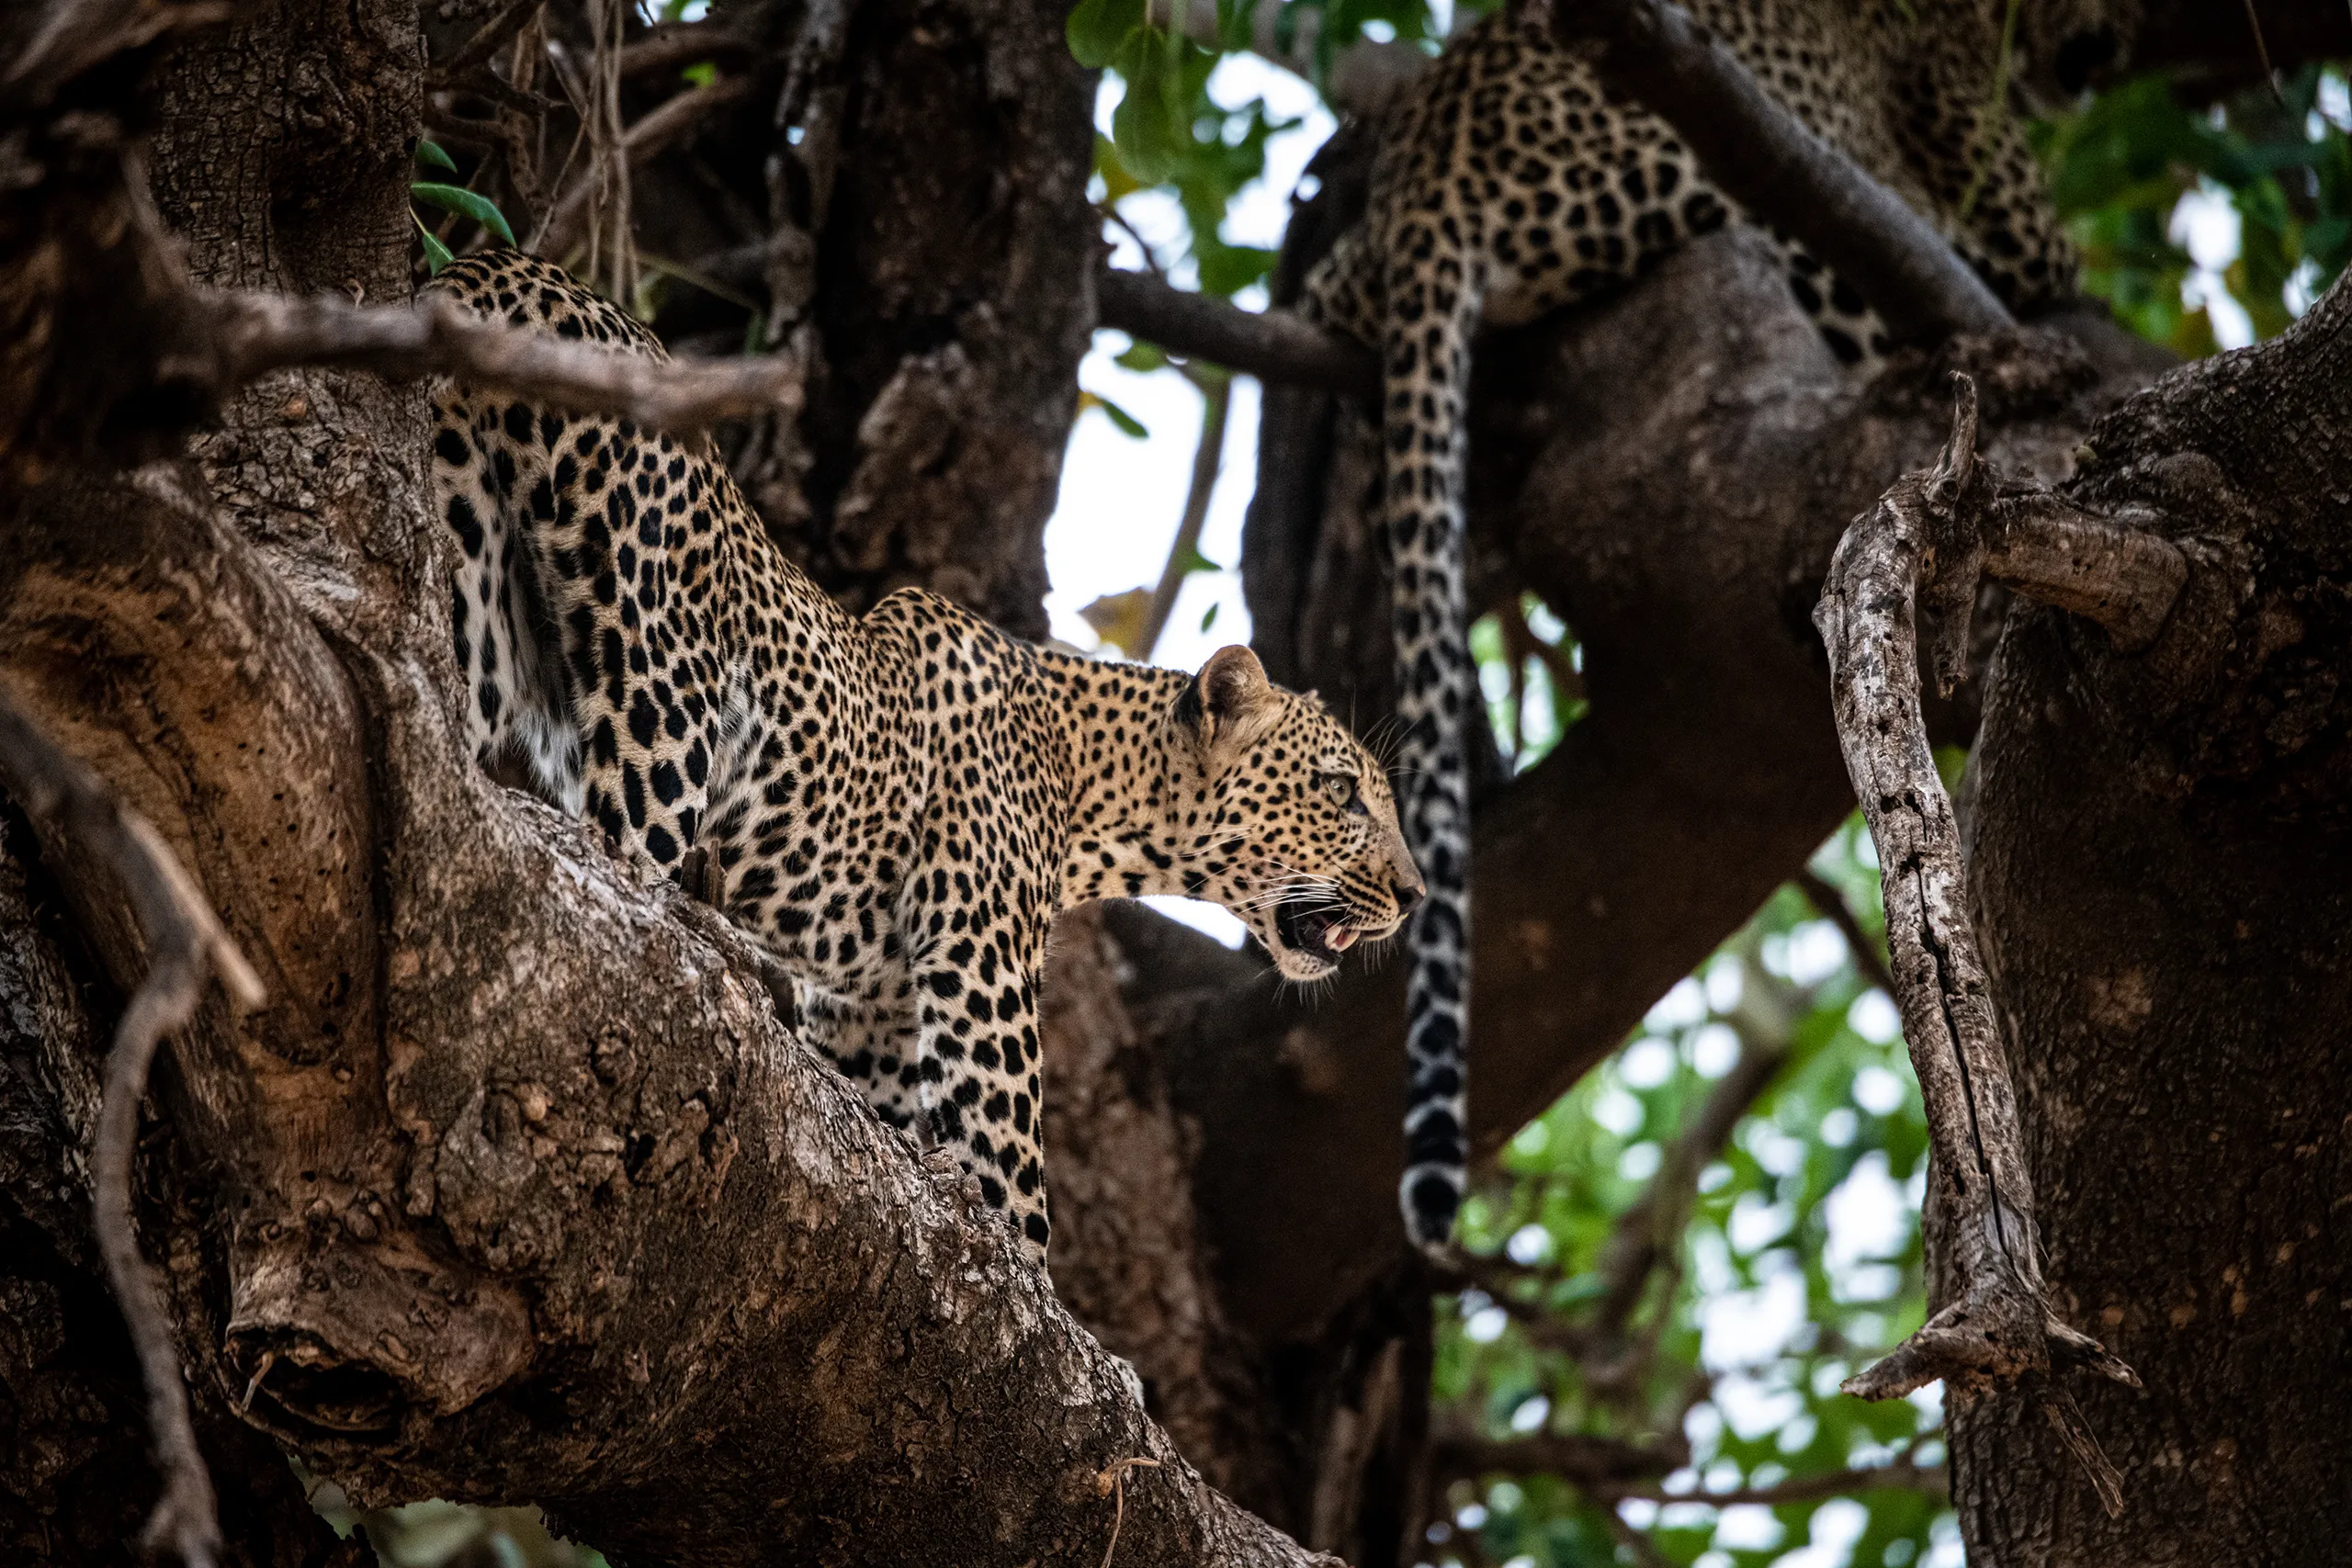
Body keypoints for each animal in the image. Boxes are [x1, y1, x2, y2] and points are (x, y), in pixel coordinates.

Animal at [429, 248, 1426, 1265]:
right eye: (1343, 793)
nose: (1416, 895)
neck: (1092, 784)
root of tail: (506, 263)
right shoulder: (982, 980)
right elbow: (1017, 1203)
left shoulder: (869, 1011)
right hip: (659, 687)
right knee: (625, 864)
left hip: (473, 582)